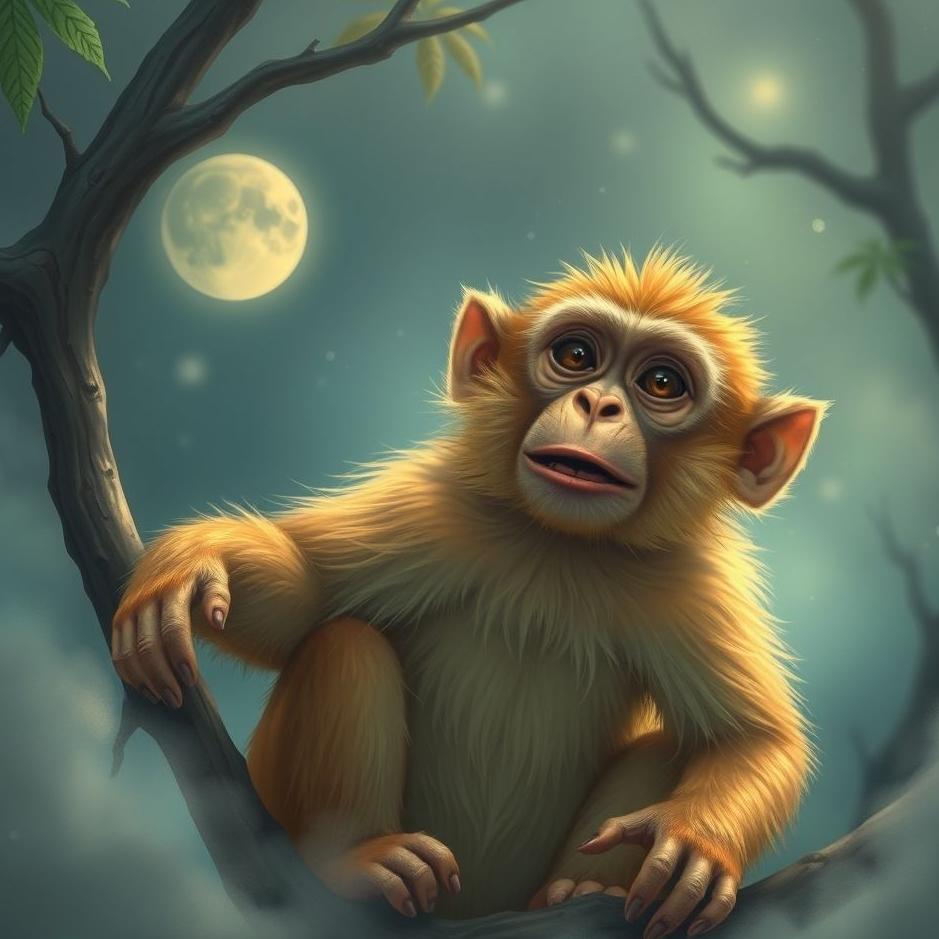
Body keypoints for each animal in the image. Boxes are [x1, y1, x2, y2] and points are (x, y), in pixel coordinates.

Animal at [112, 248, 825, 936]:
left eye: (661, 384)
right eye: (576, 356)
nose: (598, 406)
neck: (557, 549)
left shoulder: (693, 582)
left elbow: (753, 740)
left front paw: (693, 840)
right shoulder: (434, 506)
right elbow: (303, 603)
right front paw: (192, 560)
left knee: (671, 746)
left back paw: (583, 891)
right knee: (345, 643)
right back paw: (356, 860)